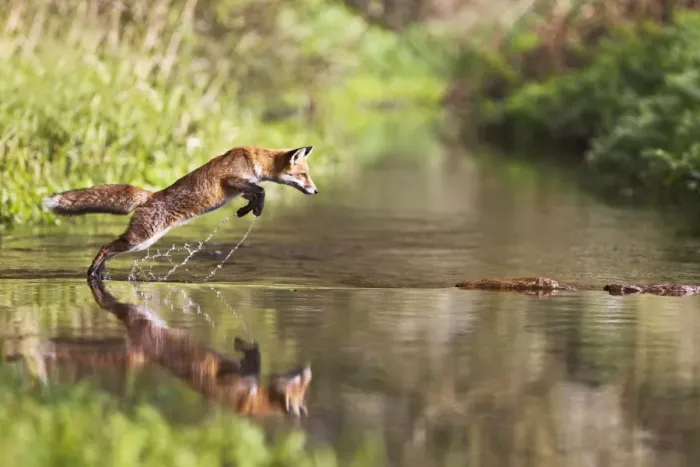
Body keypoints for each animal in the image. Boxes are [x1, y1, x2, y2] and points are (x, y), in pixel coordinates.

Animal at [43, 145, 319, 279]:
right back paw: (93, 273)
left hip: (139, 241)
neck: (254, 160)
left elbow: (254, 194)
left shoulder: (240, 188)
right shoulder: (232, 180)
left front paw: (246, 211)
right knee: (105, 247)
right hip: (141, 240)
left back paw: (100, 273)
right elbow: (261, 191)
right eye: (303, 175)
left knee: (109, 250)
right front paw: (256, 208)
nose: (315, 191)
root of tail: (150, 195)